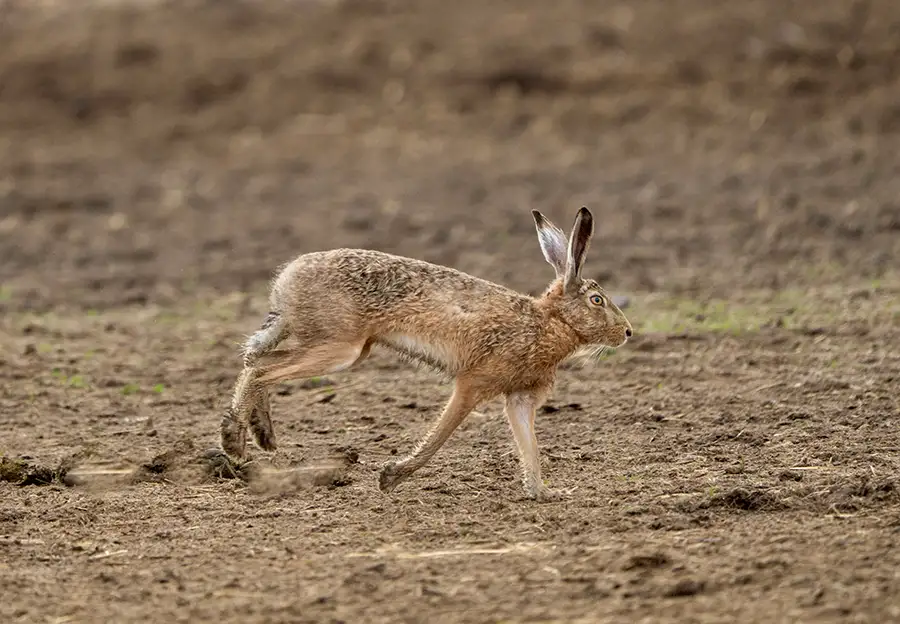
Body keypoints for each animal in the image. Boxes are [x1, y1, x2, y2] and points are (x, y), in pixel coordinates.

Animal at [220, 206, 633, 501]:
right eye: (597, 301)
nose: (628, 332)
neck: (550, 321)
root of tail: (286, 281)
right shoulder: (474, 383)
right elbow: (441, 435)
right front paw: (391, 477)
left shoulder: (519, 398)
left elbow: (530, 448)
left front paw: (544, 493)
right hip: (340, 348)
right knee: (260, 369)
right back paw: (234, 440)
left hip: (338, 347)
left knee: (256, 361)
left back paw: (261, 435)